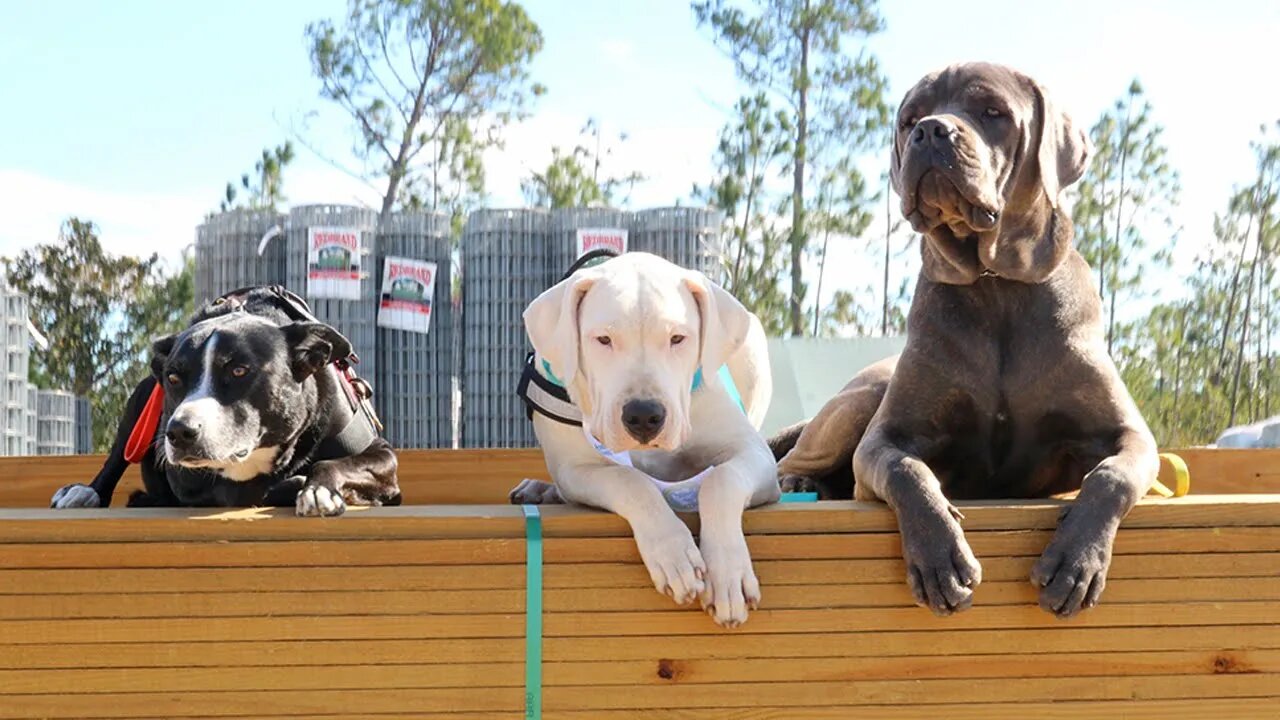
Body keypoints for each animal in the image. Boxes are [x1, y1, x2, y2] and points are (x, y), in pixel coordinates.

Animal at [51, 285, 399, 515]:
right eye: (173, 378)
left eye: (239, 370)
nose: (179, 432)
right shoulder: (194, 481)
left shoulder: (382, 455)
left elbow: (333, 463)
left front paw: (318, 490)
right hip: (140, 400)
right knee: (116, 457)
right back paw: (85, 492)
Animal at [506, 252, 768, 622]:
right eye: (603, 340)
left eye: (677, 338)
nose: (644, 416)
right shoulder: (575, 470)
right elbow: (630, 481)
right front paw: (673, 553)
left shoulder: (753, 452)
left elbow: (723, 479)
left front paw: (728, 574)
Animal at [768, 60, 1162, 617]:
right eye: (909, 119)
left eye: (992, 111)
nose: (931, 130)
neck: (994, 283)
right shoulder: (884, 437)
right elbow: (907, 470)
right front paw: (941, 560)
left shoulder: (1129, 434)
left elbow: (1112, 476)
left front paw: (1075, 561)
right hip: (861, 399)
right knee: (792, 456)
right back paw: (799, 480)